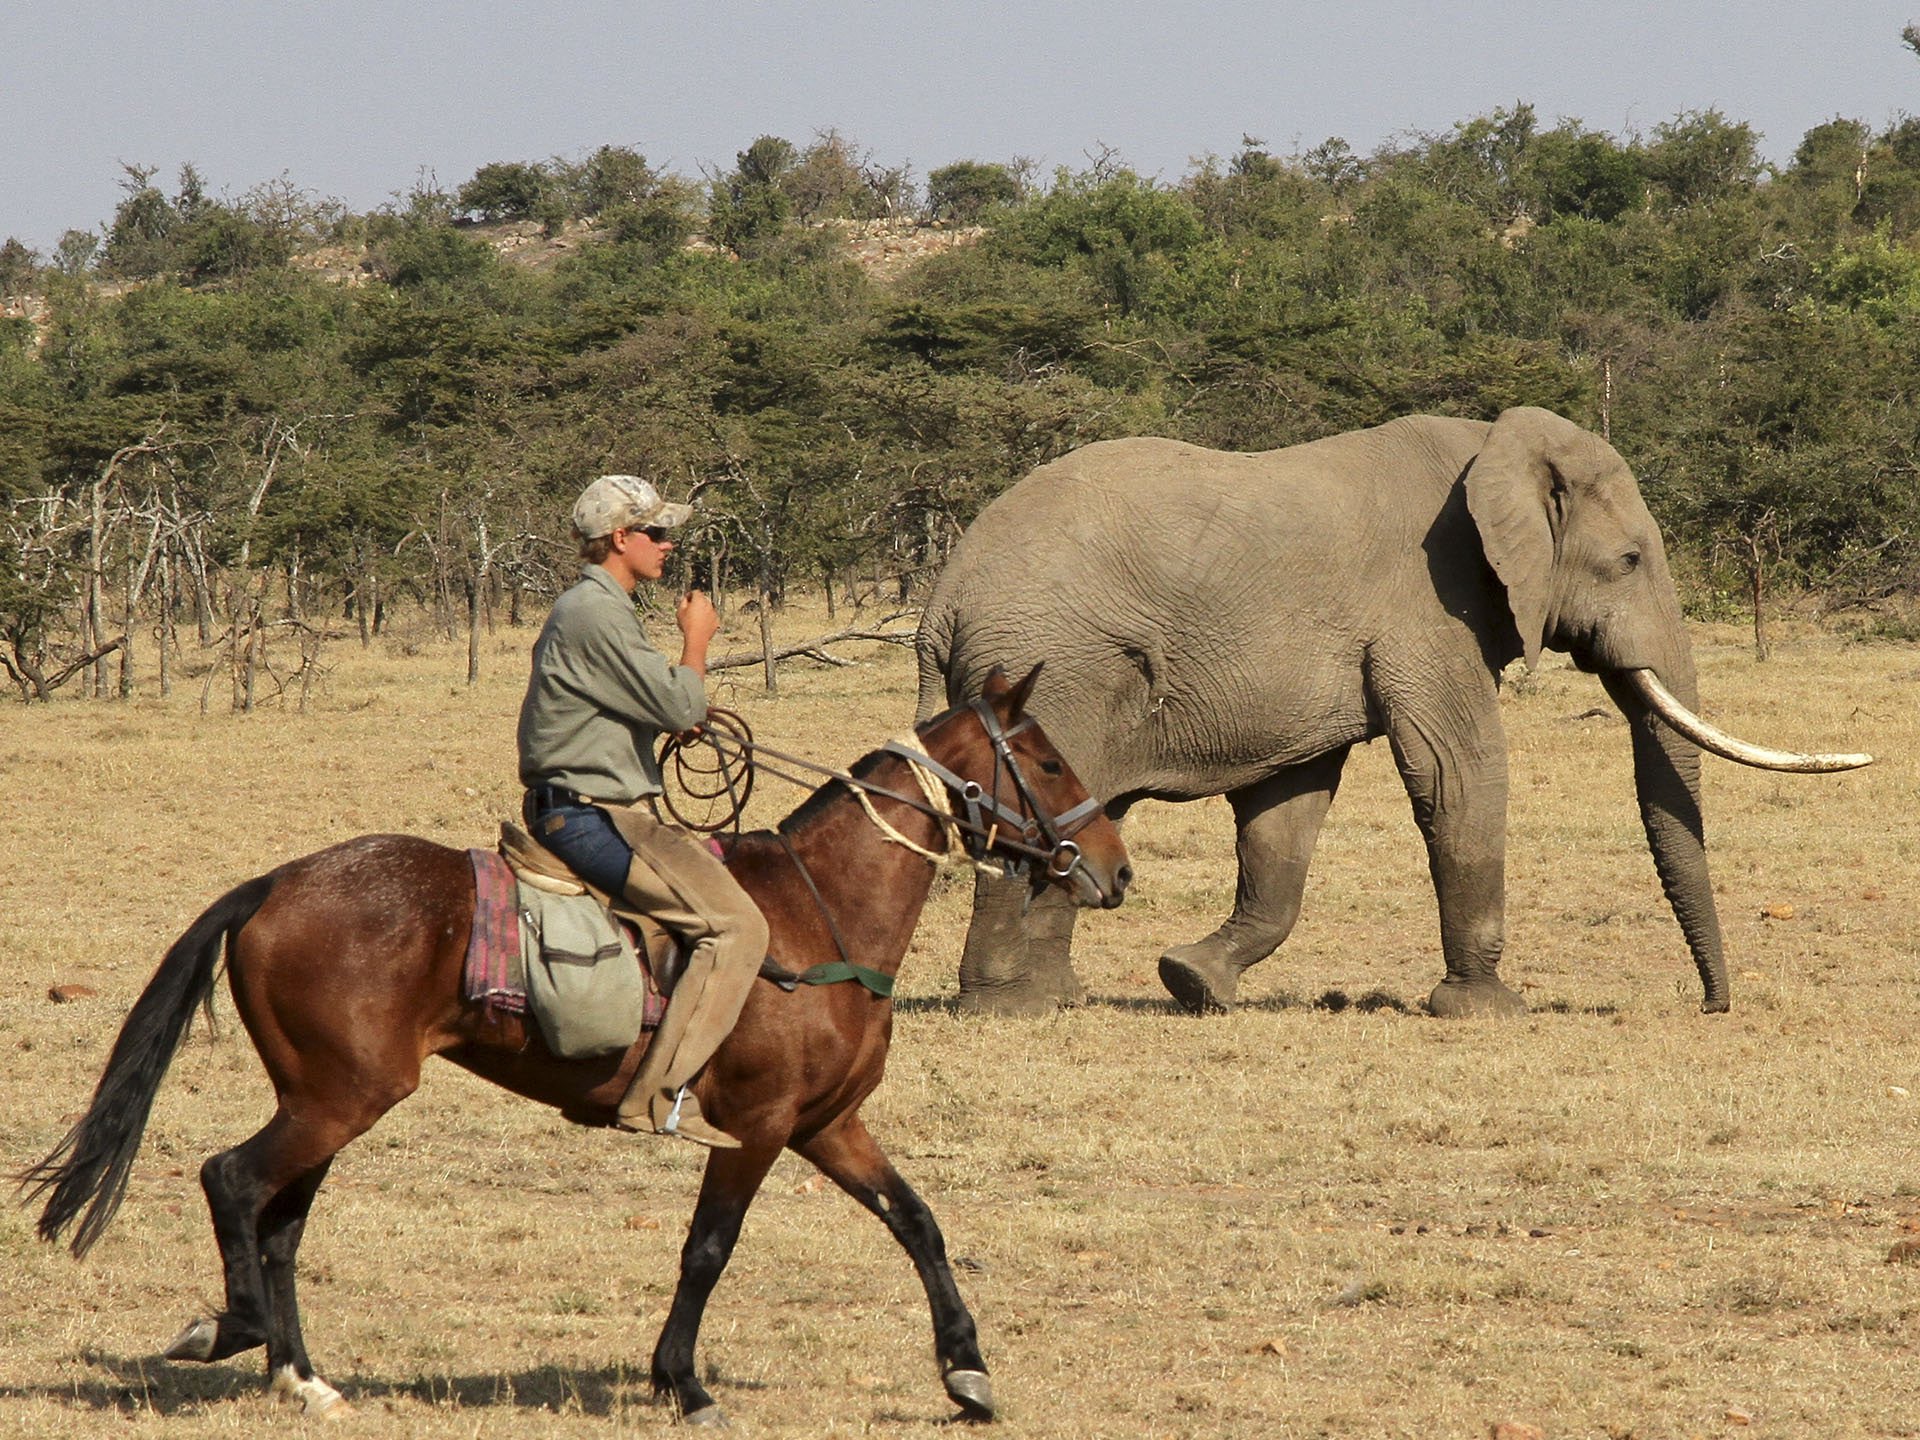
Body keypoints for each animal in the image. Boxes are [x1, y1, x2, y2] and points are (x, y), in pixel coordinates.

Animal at [26, 668, 1121, 1436]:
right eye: (1050, 763)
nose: (1114, 869)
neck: (819, 914)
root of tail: (275, 884)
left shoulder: (830, 1125)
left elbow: (918, 1224)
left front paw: (968, 1373)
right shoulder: (759, 1128)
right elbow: (708, 1249)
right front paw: (684, 1385)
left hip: (326, 1099)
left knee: (279, 1218)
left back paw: (304, 1379)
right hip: (340, 1099)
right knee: (233, 1180)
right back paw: (233, 1331)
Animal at [917, 401, 1873, 1021]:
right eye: (1630, 560)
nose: (1710, 1006)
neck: (1493, 447)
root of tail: (942, 604)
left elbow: (1288, 811)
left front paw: (1194, 981)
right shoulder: (1430, 603)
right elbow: (1460, 774)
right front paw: (1486, 1010)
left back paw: (1058, 999)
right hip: (1050, 669)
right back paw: (1004, 1009)